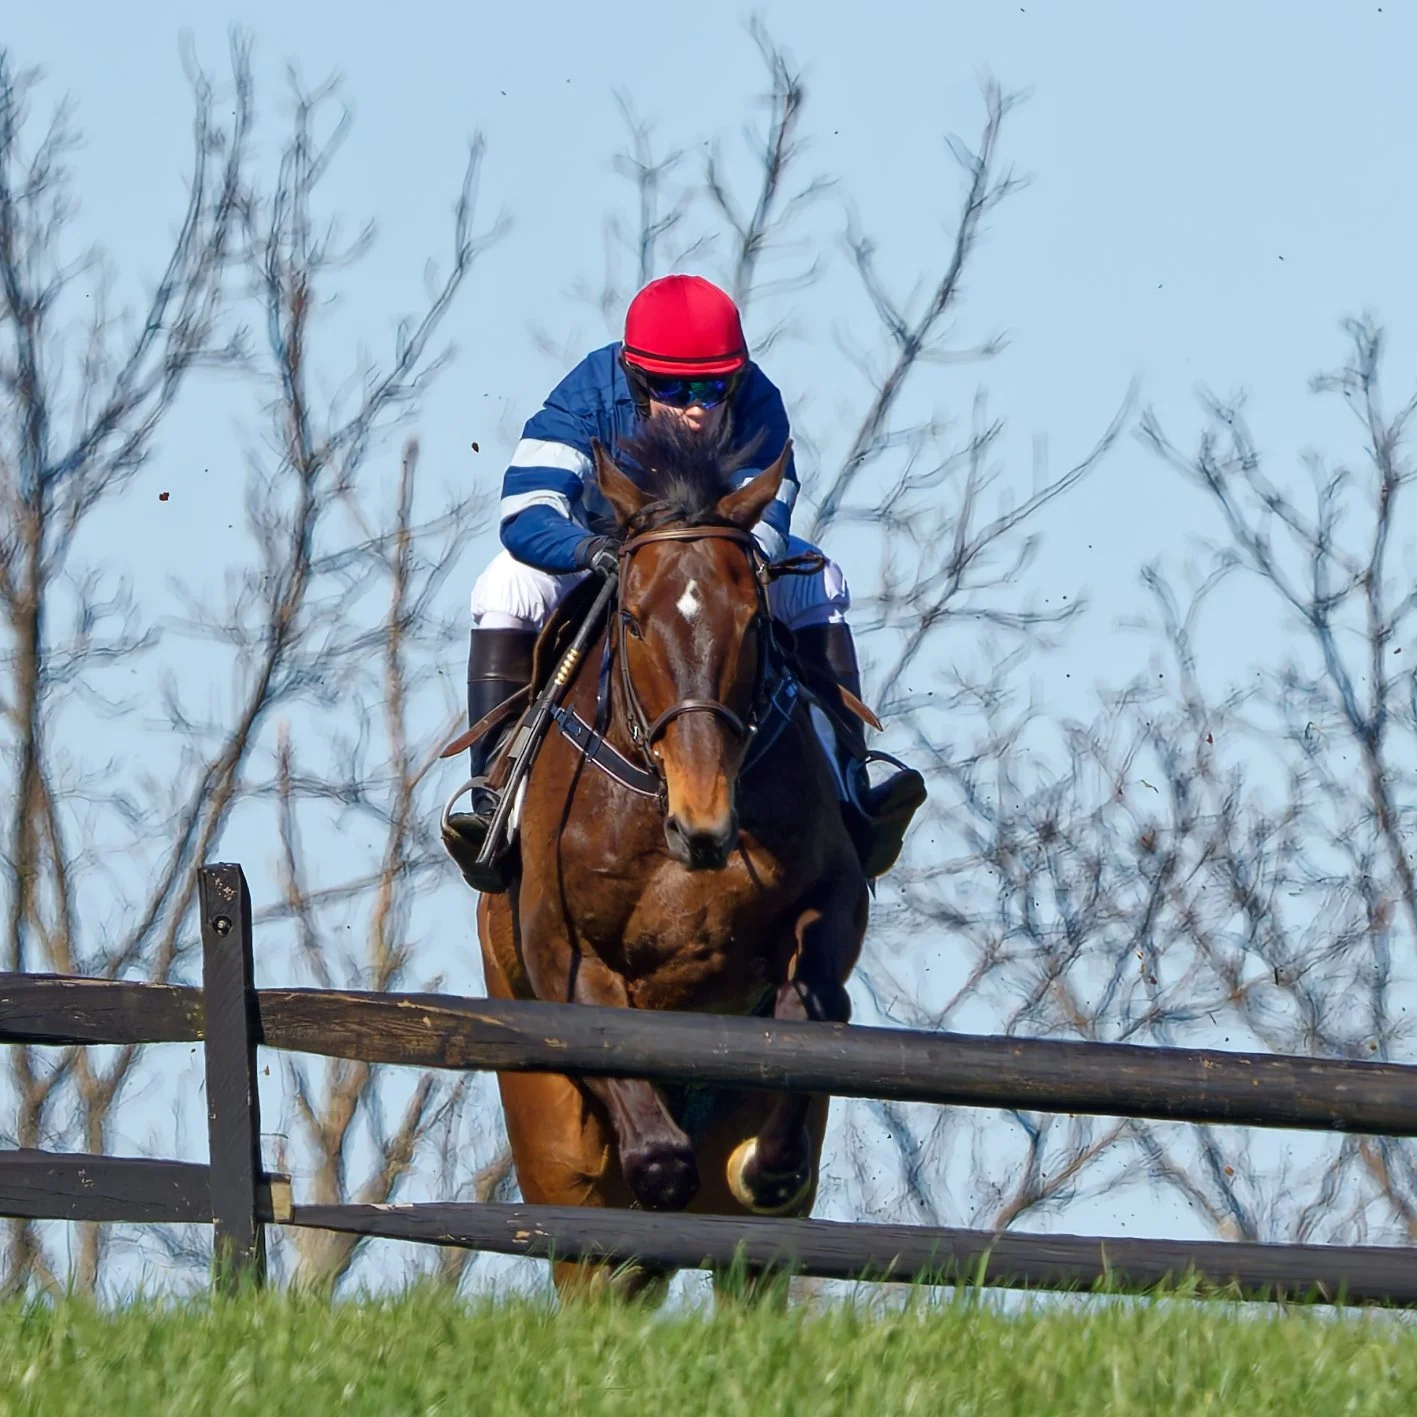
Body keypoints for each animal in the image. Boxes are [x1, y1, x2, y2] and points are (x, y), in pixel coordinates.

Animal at [475, 421, 869, 1298]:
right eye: (631, 618)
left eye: (752, 621)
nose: (705, 822)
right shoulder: (561, 953)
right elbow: (651, 1152)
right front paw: (661, 1170)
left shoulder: (831, 900)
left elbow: (810, 1004)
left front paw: (766, 1163)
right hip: (545, 1132)